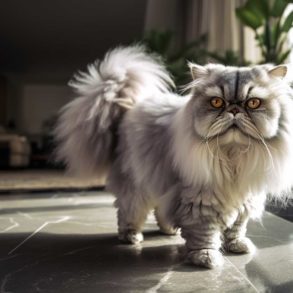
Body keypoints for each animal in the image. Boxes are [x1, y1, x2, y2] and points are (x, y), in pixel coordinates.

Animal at [54, 45, 292, 266]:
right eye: (217, 102)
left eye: (253, 103)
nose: (234, 110)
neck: (233, 156)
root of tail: (130, 106)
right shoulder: (201, 201)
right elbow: (205, 234)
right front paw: (206, 257)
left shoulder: (244, 198)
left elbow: (236, 227)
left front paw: (237, 246)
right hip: (137, 186)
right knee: (128, 212)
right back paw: (131, 236)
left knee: (161, 210)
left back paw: (169, 230)